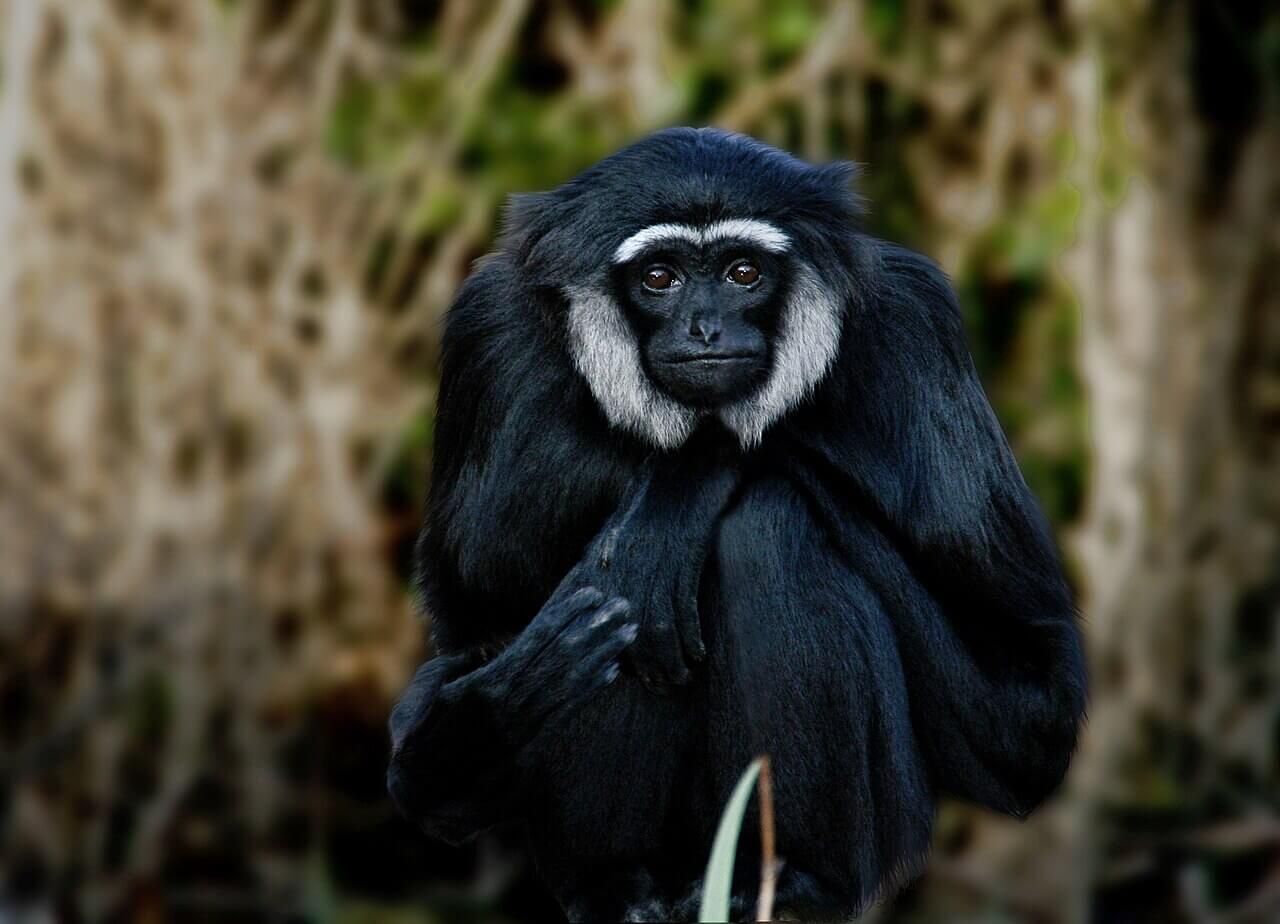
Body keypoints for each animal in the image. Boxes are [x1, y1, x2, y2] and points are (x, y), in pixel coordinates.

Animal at [388, 127, 1087, 921]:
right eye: (660, 277)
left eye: (742, 272)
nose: (705, 325)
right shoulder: (487, 325)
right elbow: (471, 608)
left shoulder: (916, 322)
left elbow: (1030, 706)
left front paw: (683, 488)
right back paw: (619, 883)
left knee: (766, 524)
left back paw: (790, 876)